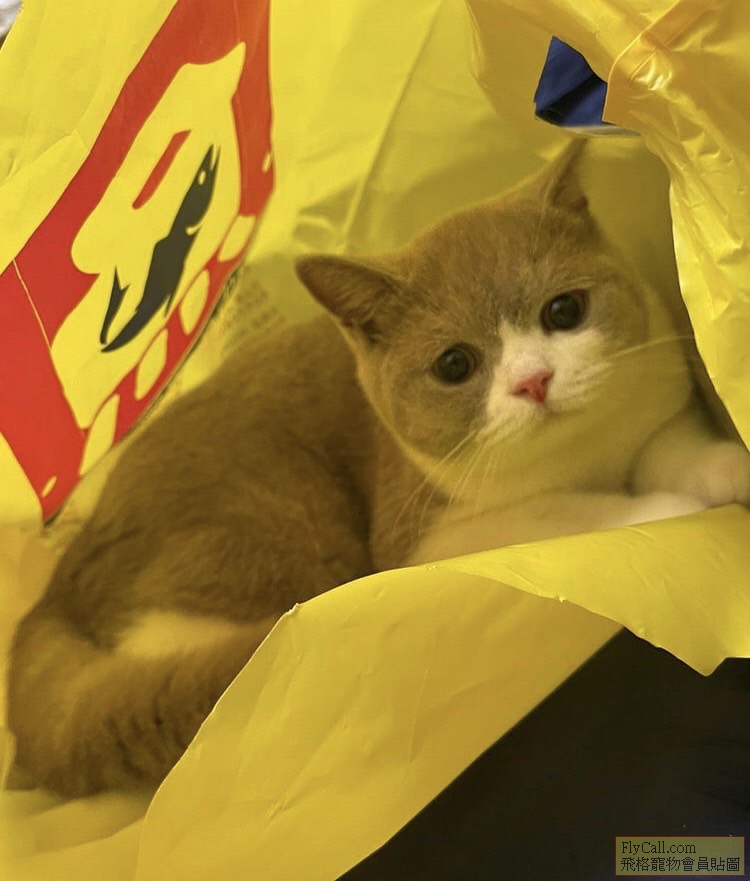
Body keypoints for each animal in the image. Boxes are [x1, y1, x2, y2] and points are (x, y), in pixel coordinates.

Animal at [7, 141, 750, 796]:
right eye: (454, 364)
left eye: (564, 310)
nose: (533, 382)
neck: (580, 450)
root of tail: (51, 592)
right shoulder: (427, 536)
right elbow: (565, 513)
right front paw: (662, 513)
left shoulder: (656, 392)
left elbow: (670, 444)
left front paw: (727, 467)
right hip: (275, 527)